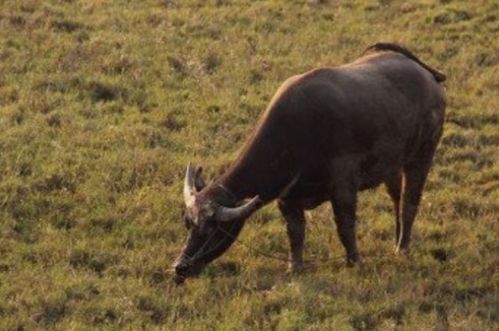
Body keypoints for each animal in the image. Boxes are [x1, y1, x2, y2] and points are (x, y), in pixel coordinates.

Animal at [174, 42, 448, 284]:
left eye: (211, 230)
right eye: (187, 223)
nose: (180, 267)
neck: (298, 133)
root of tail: (426, 74)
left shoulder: (343, 188)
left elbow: (345, 228)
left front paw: (354, 262)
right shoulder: (287, 199)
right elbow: (296, 234)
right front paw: (294, 268)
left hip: (422, 156)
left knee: (410, 202)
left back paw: (402, 248)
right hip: (392, 166)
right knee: (396, 198)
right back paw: (396, 241)